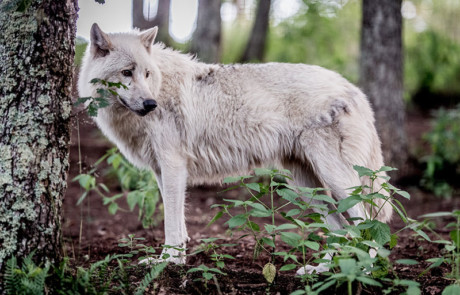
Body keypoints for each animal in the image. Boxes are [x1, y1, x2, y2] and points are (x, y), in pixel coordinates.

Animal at [78, 23, 392, 276]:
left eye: (145, 73)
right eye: (126, 73)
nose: (150, 104)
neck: (160, 86)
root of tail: (355, 89)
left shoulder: (173, 167)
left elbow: (170, 223)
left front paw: (167, 261)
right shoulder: (161, 171)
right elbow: (177, 222)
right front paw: (175, 260)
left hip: (336, 182)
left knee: (368, 224)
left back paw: (363, 270)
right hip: (306, 187)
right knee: (342, 230)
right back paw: (323, 270)